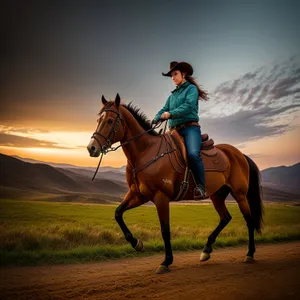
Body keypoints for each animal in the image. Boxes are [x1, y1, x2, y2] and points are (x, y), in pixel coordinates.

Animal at [87, 94, 264, 274]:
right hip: (217, 195)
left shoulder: (161, 197)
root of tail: (240, 155)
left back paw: (249, 254)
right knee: (225, 218)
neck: (146, 152)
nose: (91, 148)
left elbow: (165, 230)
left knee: (249, 221)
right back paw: (206, 250)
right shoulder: (138, 195)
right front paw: (137, 243)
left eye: (110, 121)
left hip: (239, 195)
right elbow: (118, 213)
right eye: (98, 120)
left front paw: (166, 261)